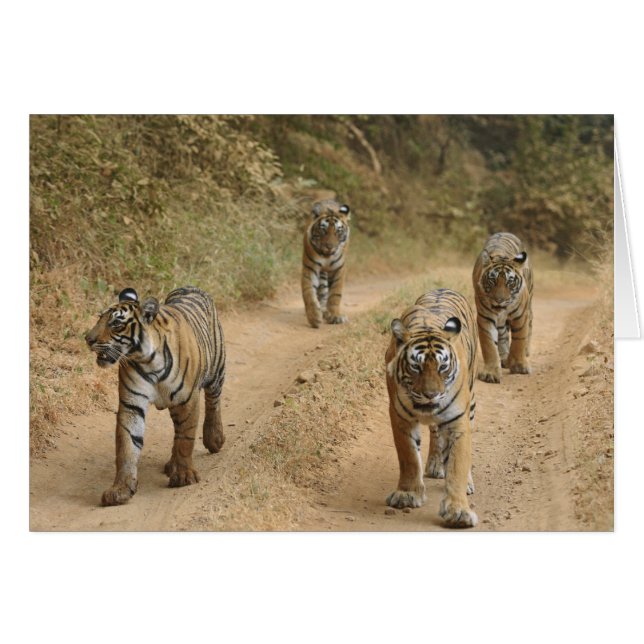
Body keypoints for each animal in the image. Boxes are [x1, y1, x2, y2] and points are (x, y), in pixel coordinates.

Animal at [85, 286, 226, 506]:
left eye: (116, 324)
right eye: (100, 318)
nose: (88, 339)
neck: (147, 359)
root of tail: (190, 286)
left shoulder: (187, 400)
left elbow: (185, 439)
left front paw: (183, 476)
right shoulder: (132, 403)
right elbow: (126, 446)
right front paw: (120, 489)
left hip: (215, 372)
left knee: (213, 401)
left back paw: (214, 438)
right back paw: (172, 464)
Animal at [301, 199, 351, 328]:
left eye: (338, 231)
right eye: (323, 229)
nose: (330, 246)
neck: (327, 256)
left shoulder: (339, 269)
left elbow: (335, 294)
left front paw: (334, 316)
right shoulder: (310, 268)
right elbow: (308, 293)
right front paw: (314, 317)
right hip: (322, 273)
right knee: (322, 291)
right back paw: (322, 310)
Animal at [385, 288, 479, 528]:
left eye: (443, 367)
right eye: (416, 367)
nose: (431, 395)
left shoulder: (458, 421)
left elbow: (457, 464)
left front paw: (459, 511)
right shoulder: (400, 417)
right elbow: (408, 457)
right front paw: (407, 495)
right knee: (435, 434)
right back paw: (435, 465)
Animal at [473, 232, 533, 383]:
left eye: (510, 282)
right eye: (492, 280)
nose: (499, 300)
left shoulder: (520, 316)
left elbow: (519, 341)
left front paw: (519, 366)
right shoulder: (485, 318)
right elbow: (489, 346)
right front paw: (490, 373)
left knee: (529, 326)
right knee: (503, 335)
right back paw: (505, 357)